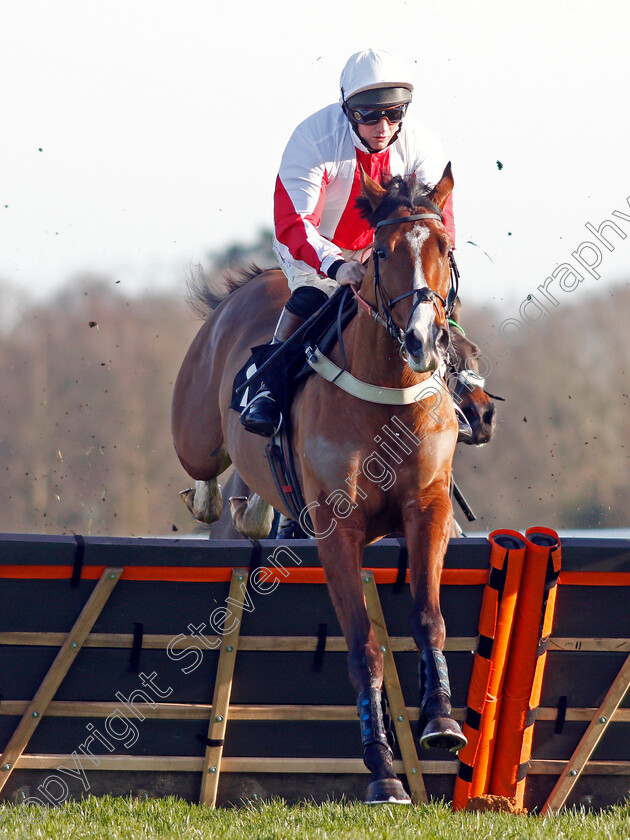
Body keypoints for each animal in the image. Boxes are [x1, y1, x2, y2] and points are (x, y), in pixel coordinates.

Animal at [173, 164, 470, 800]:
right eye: (381, 253)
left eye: (443, 247)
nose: (422, 339)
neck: (387, 395)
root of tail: (249, 285)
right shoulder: (338, 529)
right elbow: (362, 647)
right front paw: (382, 771)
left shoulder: (426, 508)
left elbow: (429, 617)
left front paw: (441, 720)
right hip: (194, 430)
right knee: (203, 469)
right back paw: (222, 502)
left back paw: (256, 511)